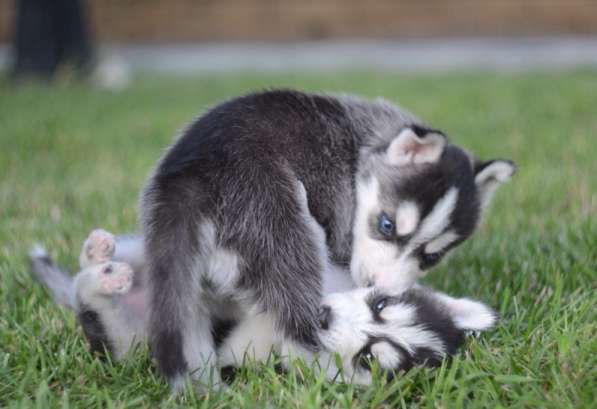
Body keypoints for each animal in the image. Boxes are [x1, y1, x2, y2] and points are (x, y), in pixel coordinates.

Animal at [29, 222, 494, 384]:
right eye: (380, 304)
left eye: (368, 357)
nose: (321, 316)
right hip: (156, 254)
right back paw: (98, 253)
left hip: (127, 344)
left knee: (91, 303)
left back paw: (103, 280)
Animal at [139, 88, 512, 386]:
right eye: (386, 225)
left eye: (431, 257)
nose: (379, 286)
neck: (362, 147)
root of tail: (190, 179)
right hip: (281, 234)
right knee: (296, 328)